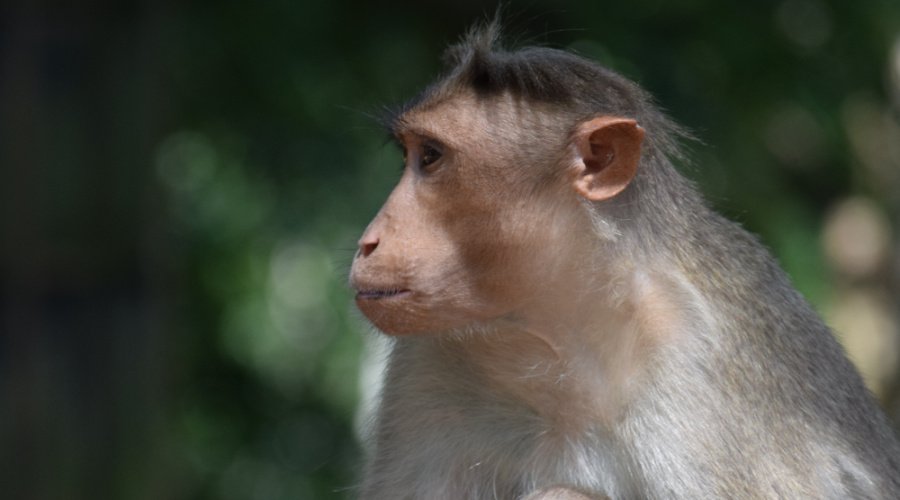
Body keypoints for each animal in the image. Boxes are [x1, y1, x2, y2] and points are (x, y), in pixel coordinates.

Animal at [348, 24, 900, 500]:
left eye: (432, 157)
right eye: (410, 155)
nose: (367, 241)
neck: (559, 337)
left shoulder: (700, 373)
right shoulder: (426, 363)